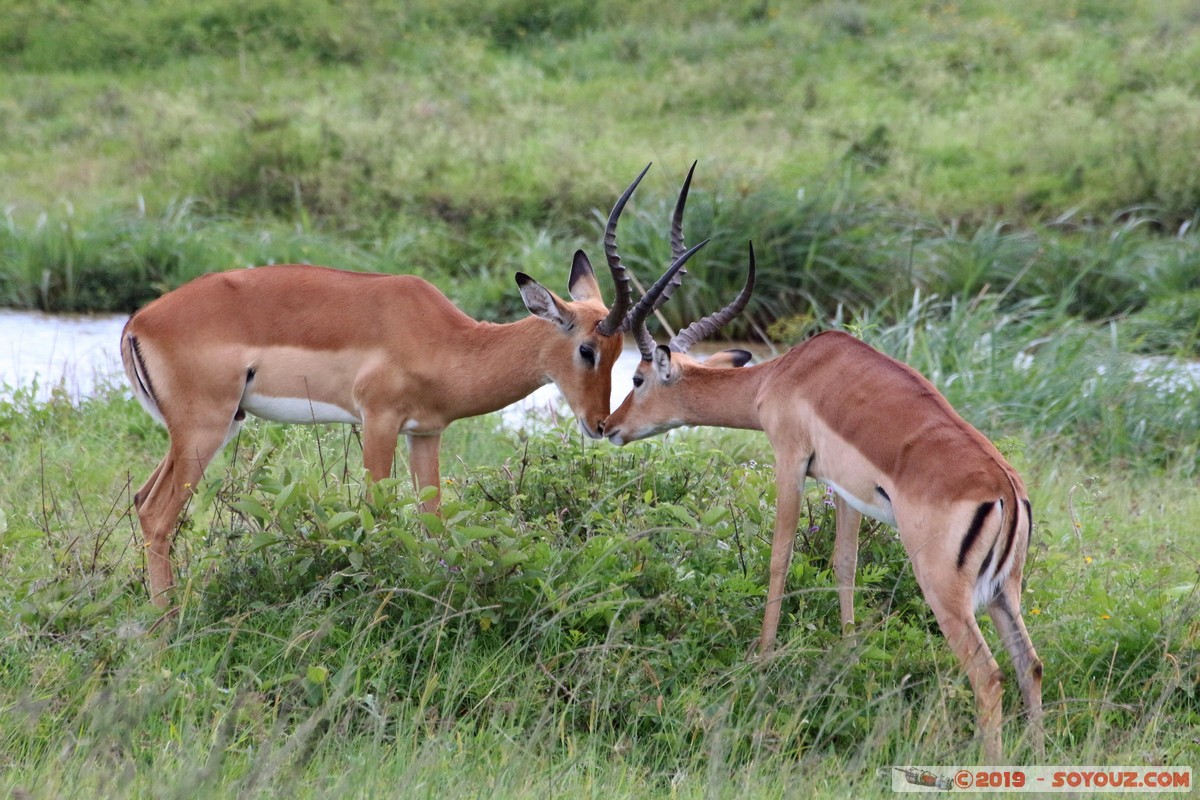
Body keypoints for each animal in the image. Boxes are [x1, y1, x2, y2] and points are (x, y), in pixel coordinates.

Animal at [123, 165, 705, 609]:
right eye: (588, 349)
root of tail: (139, 322)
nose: (600, 424)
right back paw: (164, 632)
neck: (447, 340)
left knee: (141, 499)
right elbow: (375, 515)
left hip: (201, 432)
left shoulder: (424, 433)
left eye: (620, 354)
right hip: (204, 429)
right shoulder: (377, 422)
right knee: (157, 515)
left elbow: (434, 522)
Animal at [604, 245, 1046, 762]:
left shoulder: (789, 461)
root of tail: (1005, 489)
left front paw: (763, 656)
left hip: (945, 591)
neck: (786, 373)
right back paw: (1039, 755)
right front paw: (850, 653)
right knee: (1030, 665)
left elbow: (780, 556)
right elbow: (845, 563)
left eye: (637, 378)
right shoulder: (849, 491)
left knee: (989, 675)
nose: (608, 426)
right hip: (1003, 592)